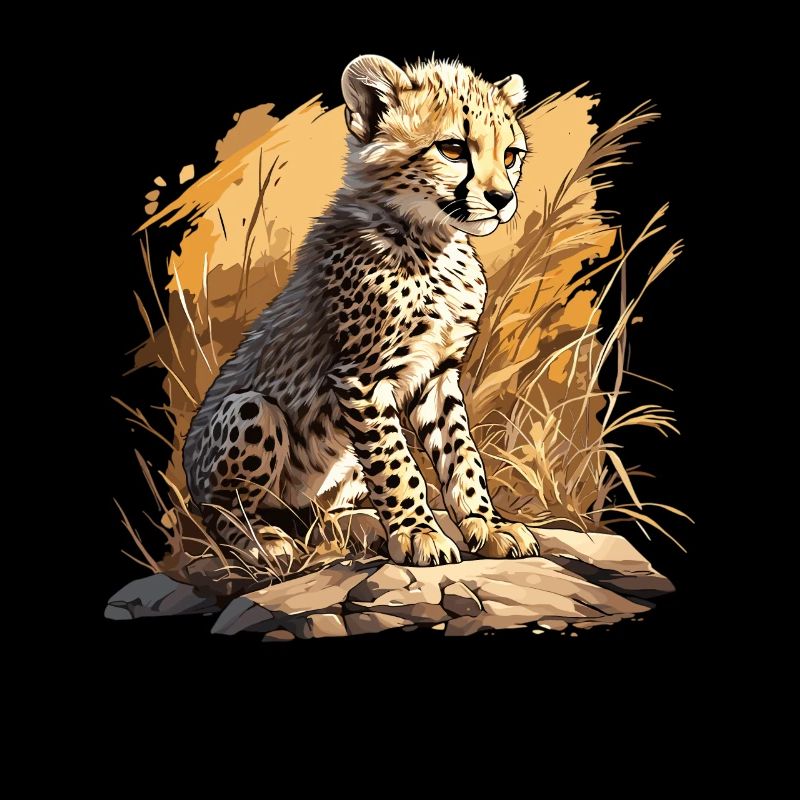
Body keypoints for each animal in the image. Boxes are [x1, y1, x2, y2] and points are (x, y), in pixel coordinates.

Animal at [183, 55, 540, 567]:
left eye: (510, 156)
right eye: (453, 148)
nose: (502, 199)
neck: (429, 241)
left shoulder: (438, 373)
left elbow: (461, 454)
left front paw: (486, 524)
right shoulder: (361, 377)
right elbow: (396, 463)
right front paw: (417, 532)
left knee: (323, 514)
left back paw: (356, 523)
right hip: (249, 410)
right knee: (225, 507)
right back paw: (263, 540)